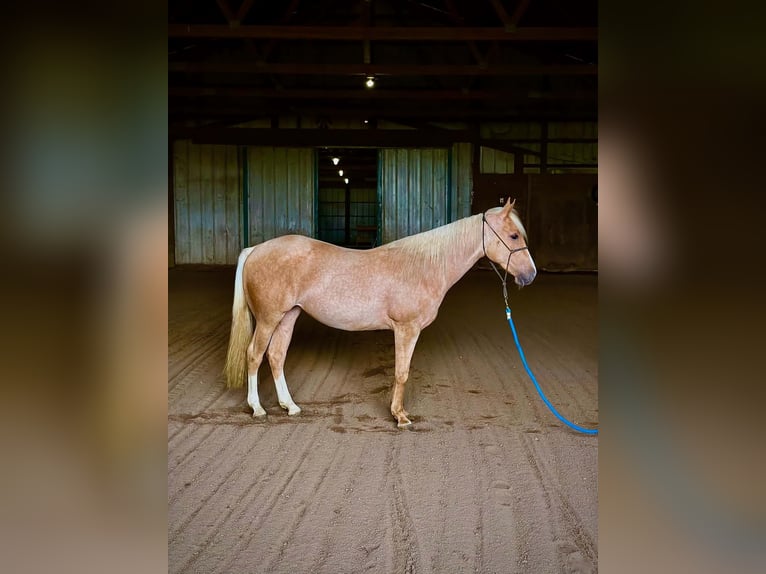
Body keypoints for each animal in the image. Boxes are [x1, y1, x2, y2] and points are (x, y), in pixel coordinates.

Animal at [224, 198, 537, 428]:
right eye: (513, 235)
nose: (531, 275)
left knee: (276, 356)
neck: (424, 266)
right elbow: (402, 372)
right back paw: (257, 408)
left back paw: (290, 406)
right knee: (254, 355)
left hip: (288, 316)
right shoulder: (406, 329)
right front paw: (400, 416)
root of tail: (256, 249)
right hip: (268, 319)